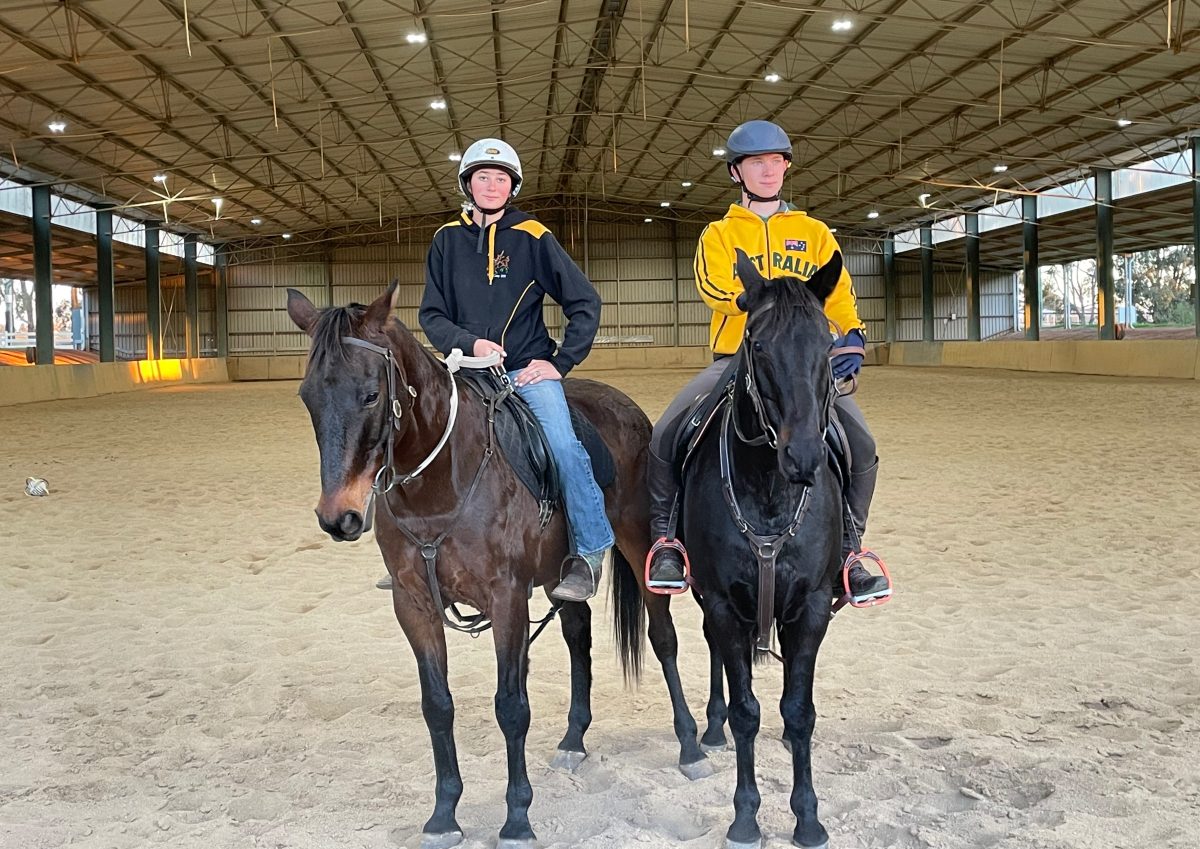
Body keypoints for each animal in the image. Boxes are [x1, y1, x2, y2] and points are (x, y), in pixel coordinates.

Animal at [285, 285, 705, 849]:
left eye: (371, 395)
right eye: (308, 396)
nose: (338, 517)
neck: (441, 482)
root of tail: (629, 409)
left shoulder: (506, 598)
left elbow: (511, 705)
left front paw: (518, 819)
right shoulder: (414, 604)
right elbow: (437, 705)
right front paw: (444, 815)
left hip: (642, 549)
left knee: (662, 638)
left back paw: (692, 747)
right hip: (558, 577)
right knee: (578, 638)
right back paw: (573, 740)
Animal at [681, 248, 849, 844]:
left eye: (828, 343)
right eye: (756, 344)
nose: (803, 457)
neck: (771, 490)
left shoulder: (813, 607)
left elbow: (799, 711)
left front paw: (809, 818)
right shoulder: (723, 604)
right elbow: (746, 711)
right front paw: (747, 816)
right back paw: (709, 728)